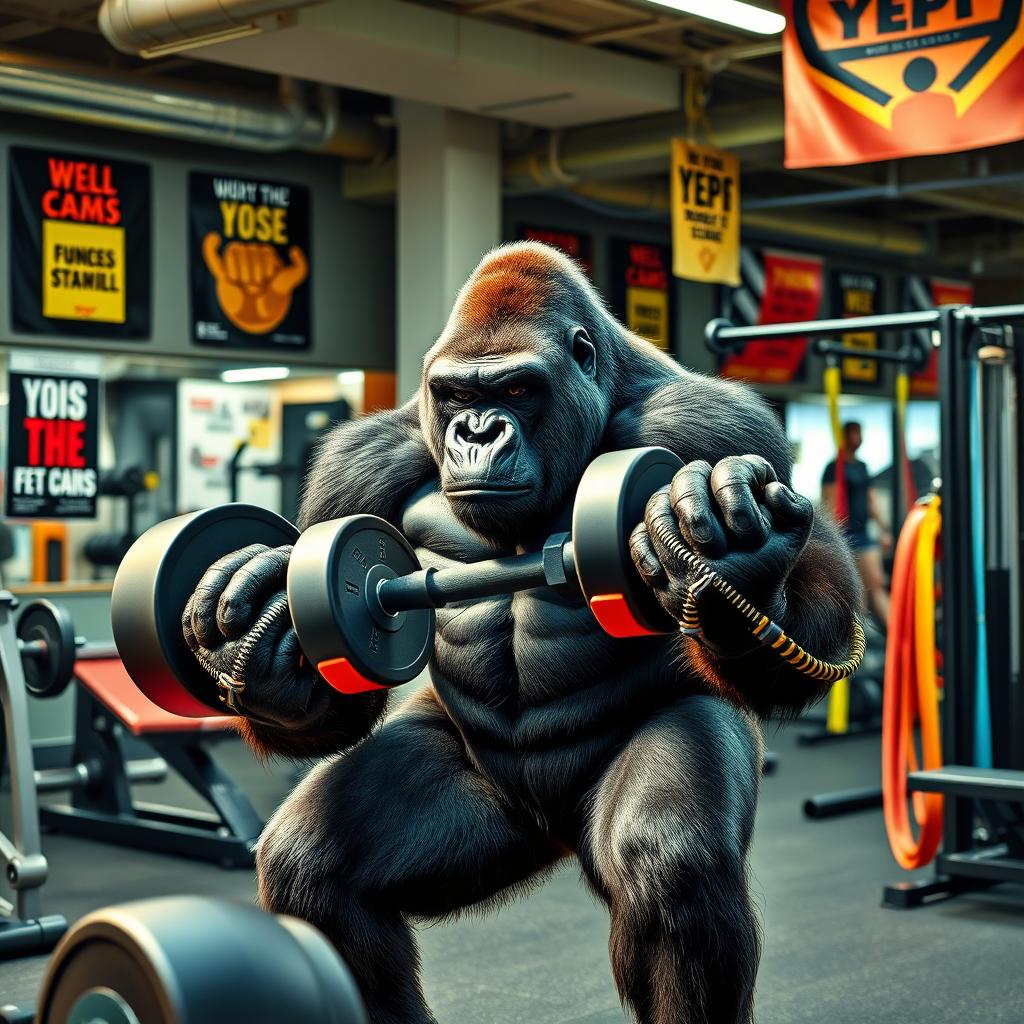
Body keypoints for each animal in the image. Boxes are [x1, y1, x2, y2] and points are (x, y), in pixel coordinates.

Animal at [182, 241, 856, 1024]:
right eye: (457, 395)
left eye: (515, 389)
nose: (477, 432)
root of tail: (555, 833)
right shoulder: (355, 467)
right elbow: (339, 700)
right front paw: (257, 647)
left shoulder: (722, 427)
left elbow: (815, 605)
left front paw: (741, 557)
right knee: (310, 870)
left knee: (671, 863)